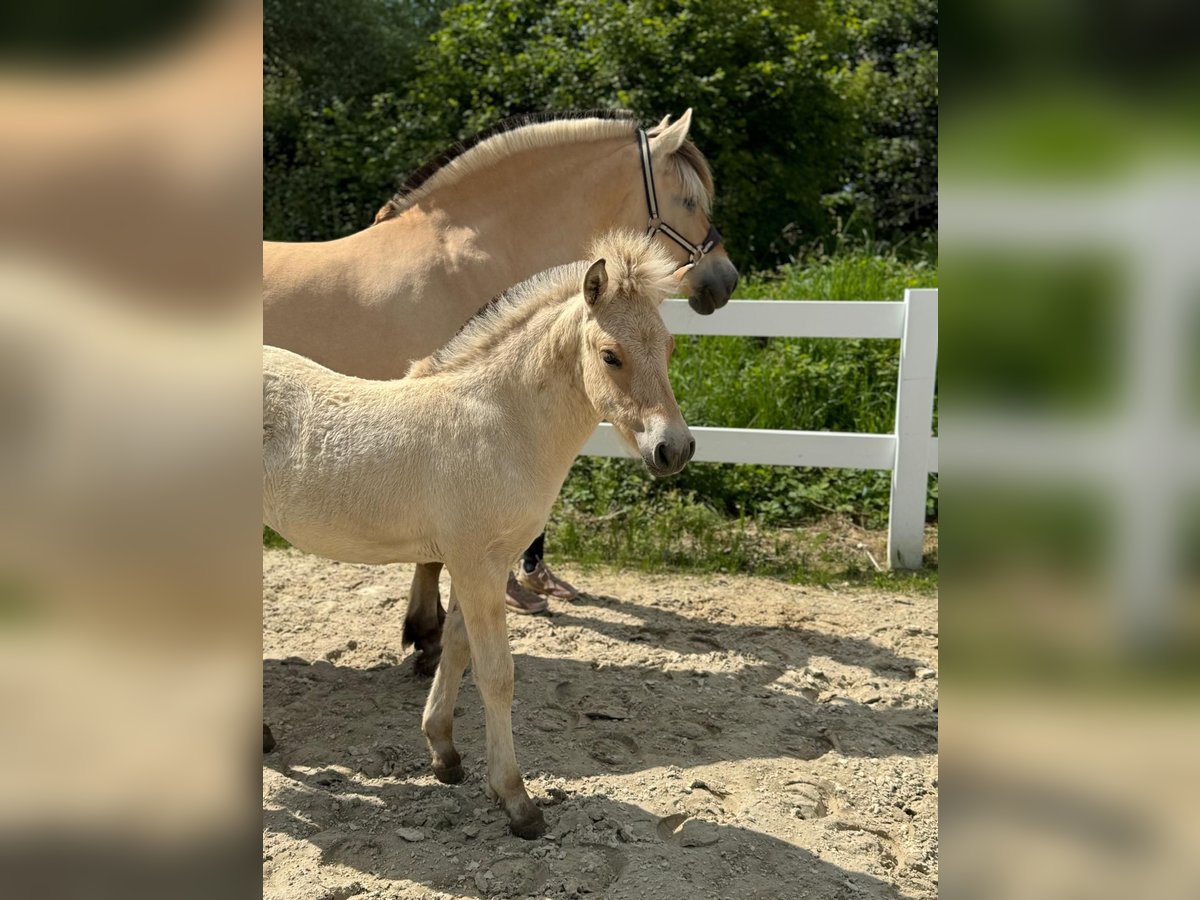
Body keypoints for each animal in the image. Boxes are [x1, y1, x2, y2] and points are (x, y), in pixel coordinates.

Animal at [262, 232, 696, 840]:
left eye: (670, 347)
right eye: (611, 355)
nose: (673, 449)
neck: (500, 422)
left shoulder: (479, 563)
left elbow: (457, 649)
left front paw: (444, 754)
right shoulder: (476, 564)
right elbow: (496, 675)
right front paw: (517, 800)